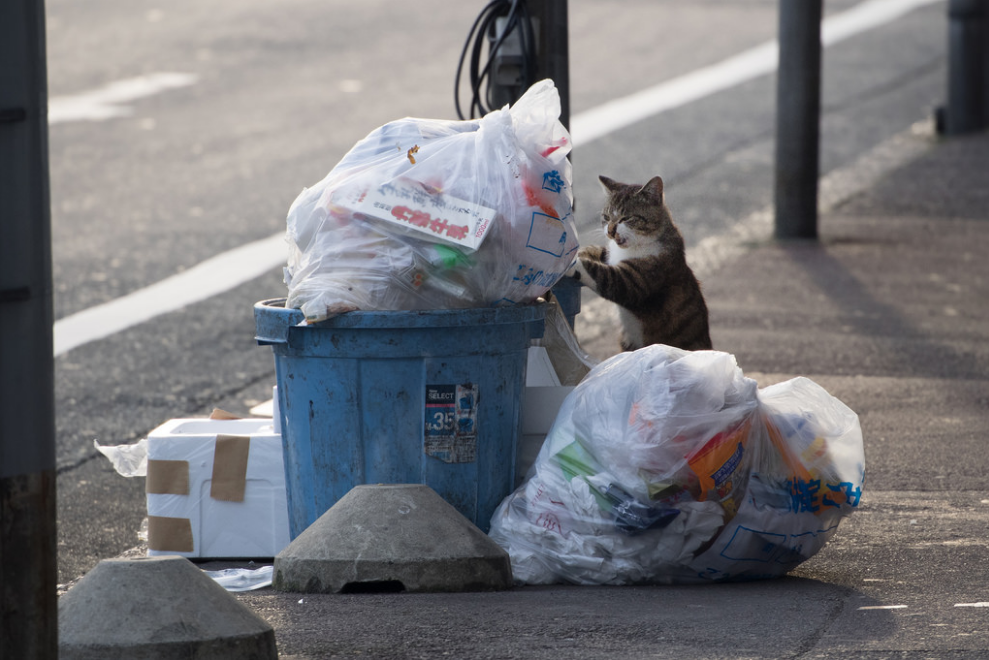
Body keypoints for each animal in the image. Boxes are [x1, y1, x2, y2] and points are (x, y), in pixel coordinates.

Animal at [572, 174, 712, 350]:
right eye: (606, 217)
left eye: (626, 218)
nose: (610, 231)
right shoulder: (611, 256)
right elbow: (600, 252)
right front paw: (582, 251)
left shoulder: (637, 280)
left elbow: (604, 275)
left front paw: (572, 264)